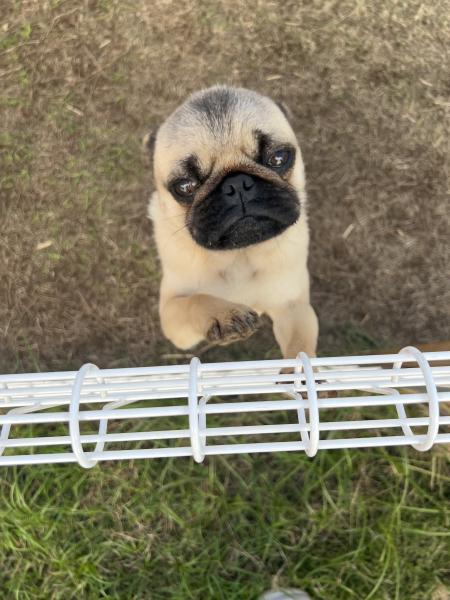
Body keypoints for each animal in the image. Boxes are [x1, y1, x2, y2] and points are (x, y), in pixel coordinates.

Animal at [146, 85, 318, 358]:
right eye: (185, 186)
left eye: (279, 158)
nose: (237, 184)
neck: (240, 256)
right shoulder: (172, 317)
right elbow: (194, 301)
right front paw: (224, 314)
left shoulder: (293, 306)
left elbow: (300, 348)